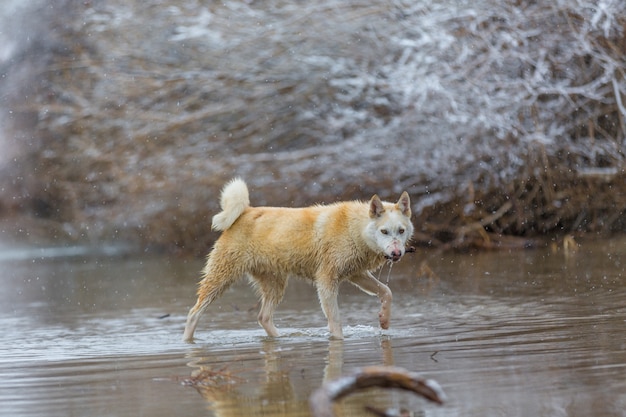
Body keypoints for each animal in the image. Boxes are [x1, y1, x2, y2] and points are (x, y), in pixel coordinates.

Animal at [183, 177, 412, 340]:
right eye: (384, 231)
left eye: (401, 231)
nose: (397, 254)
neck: (355, 229)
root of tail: (245, 212)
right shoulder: (326, 280)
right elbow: (335, 320)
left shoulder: (356, 274)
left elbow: (387, 291)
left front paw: (384, 320)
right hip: (221, 278)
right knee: (193, 313)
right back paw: (187, 341)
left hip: (275, 284)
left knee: (263, 317)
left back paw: (281, 338)